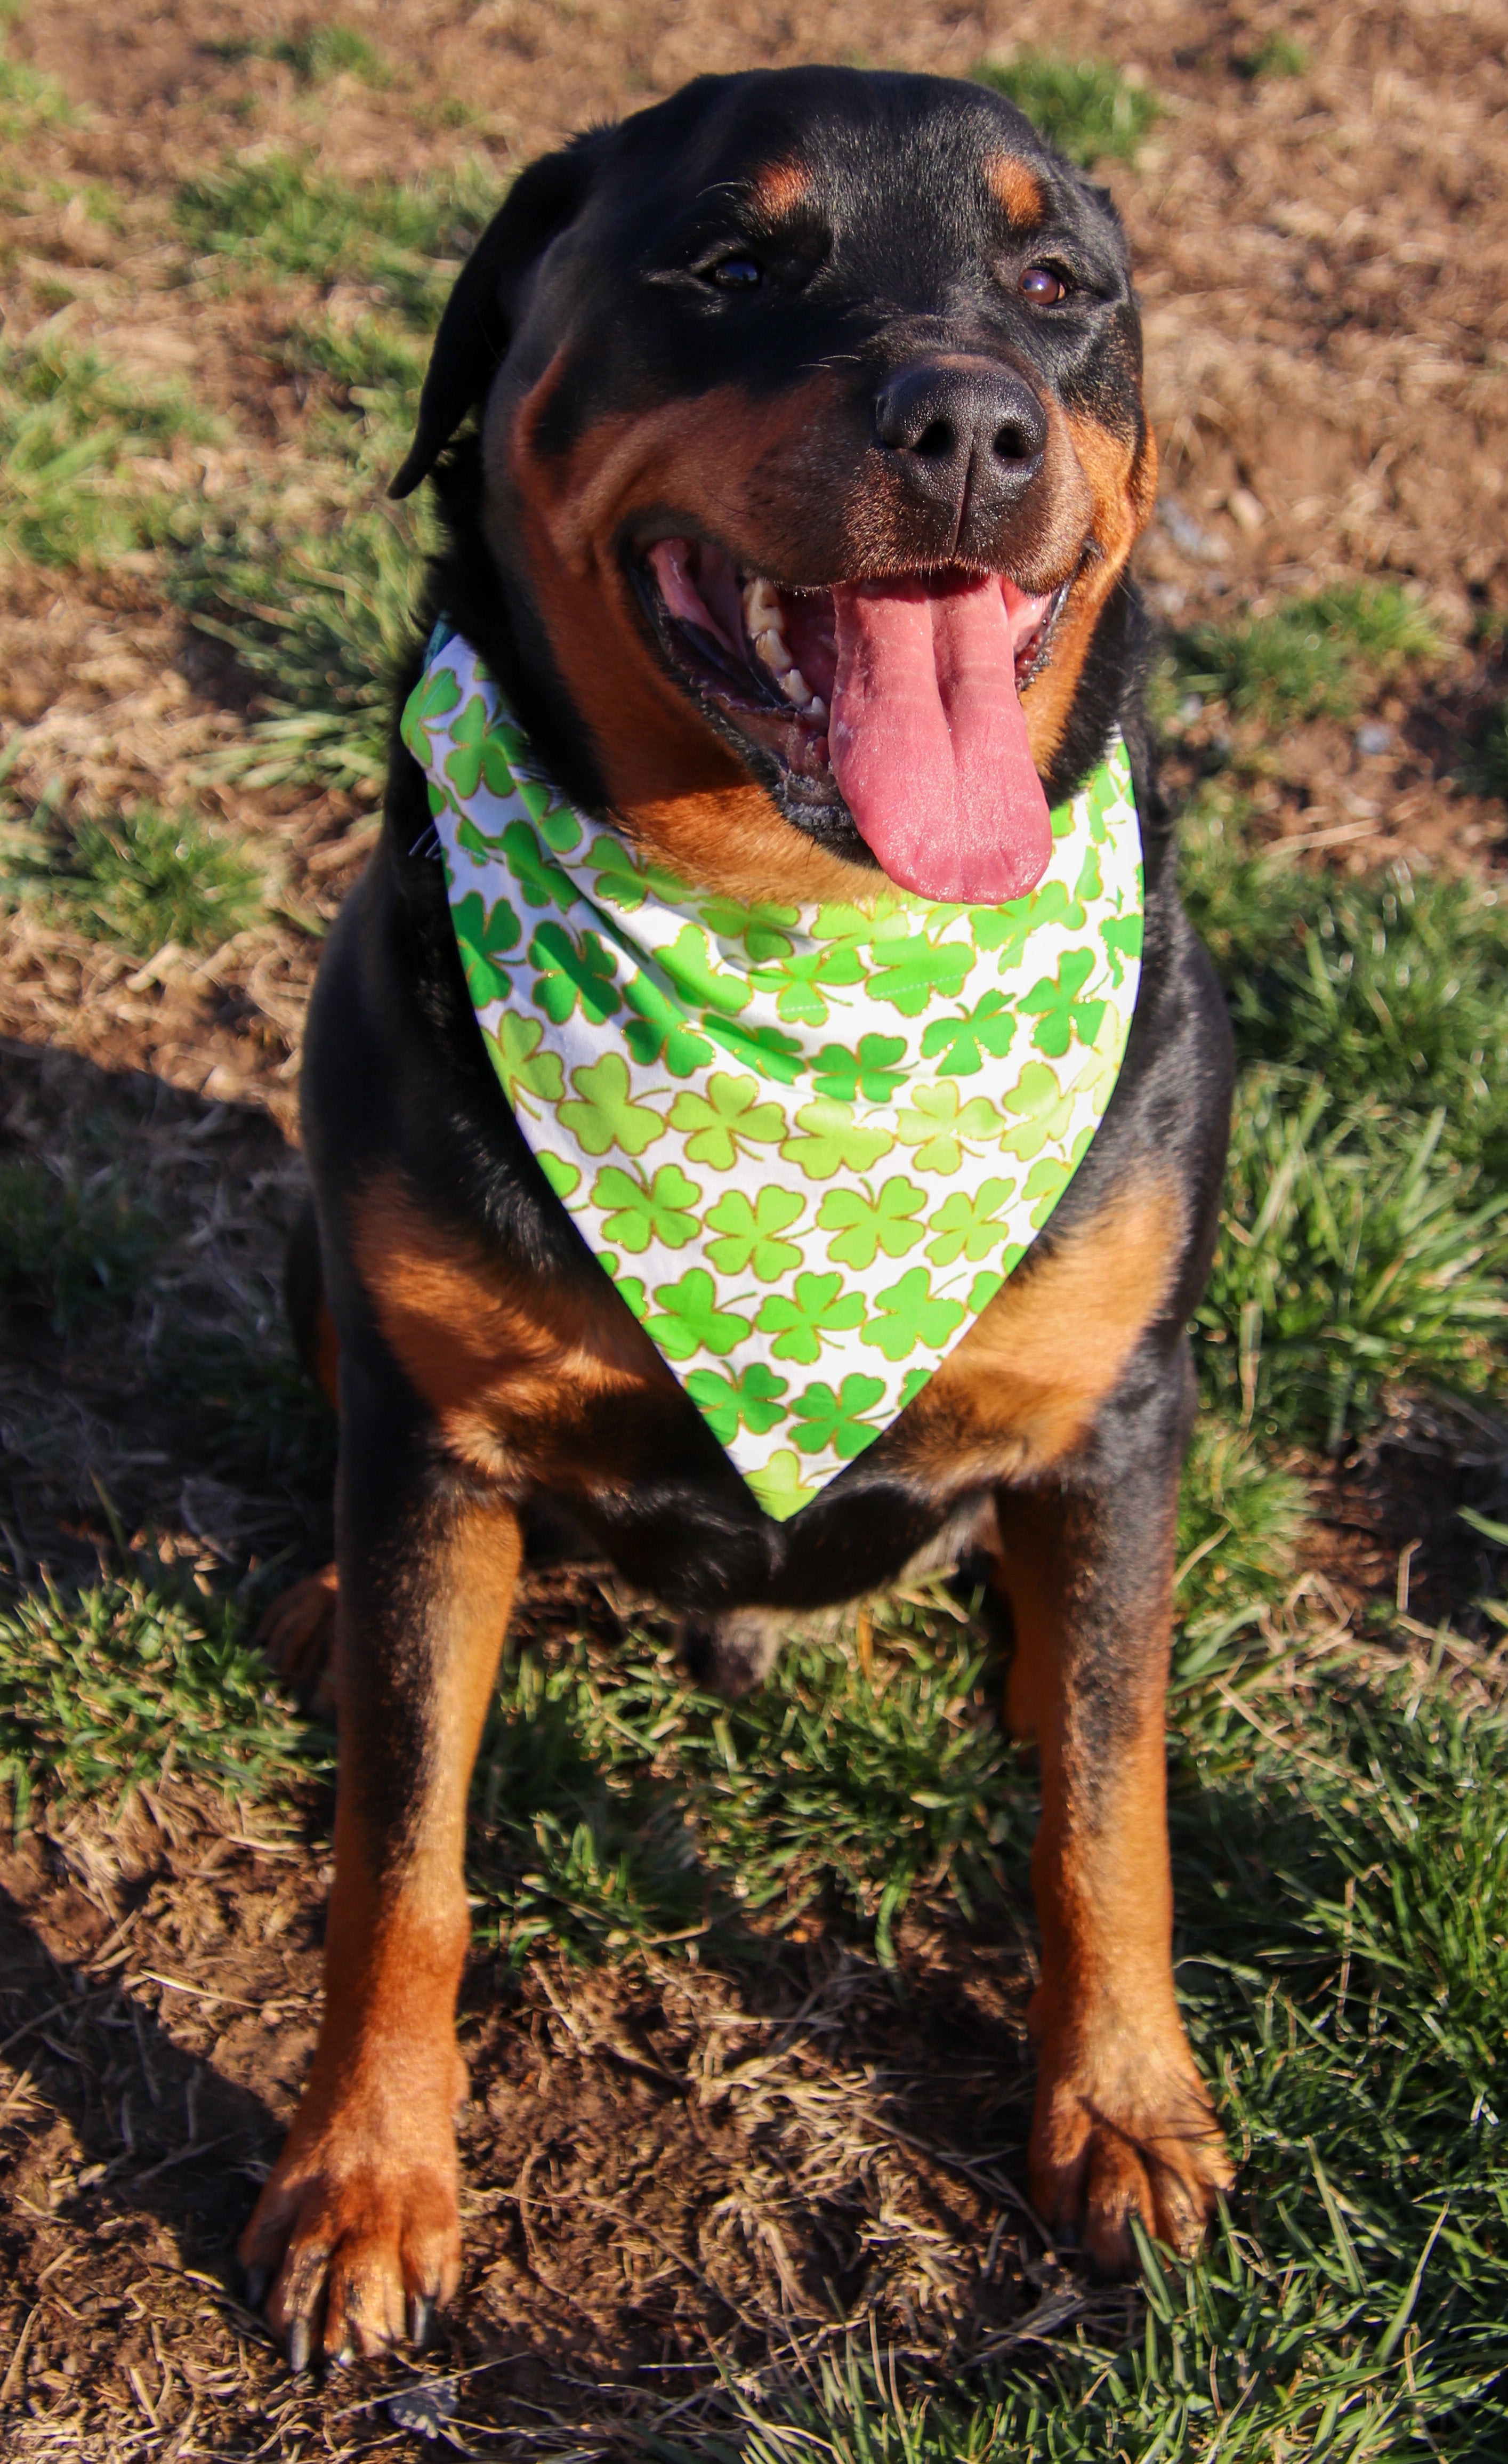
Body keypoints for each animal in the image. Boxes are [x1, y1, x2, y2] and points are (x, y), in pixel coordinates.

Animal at [244, 67, 1237, 2355]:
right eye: (725, 262)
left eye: (1055, 284)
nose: (969, 425)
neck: (804, 925)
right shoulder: (436, 1433)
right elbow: (398, 1863)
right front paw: (363, 2182)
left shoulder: (1125, 1410)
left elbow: (1105, 1815)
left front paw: (1122, 2113)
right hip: (321, 1255)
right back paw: (330, 1604)